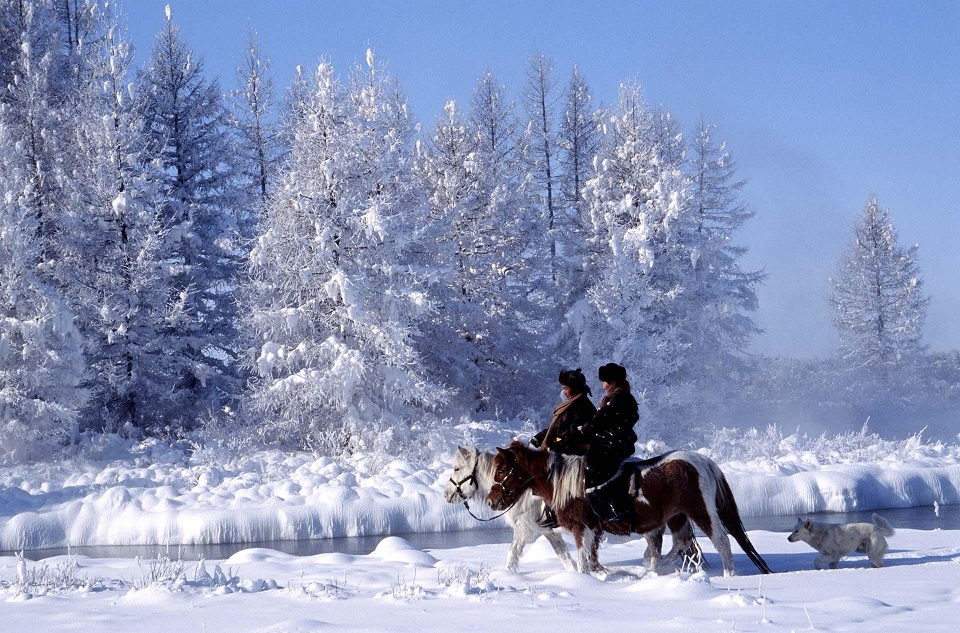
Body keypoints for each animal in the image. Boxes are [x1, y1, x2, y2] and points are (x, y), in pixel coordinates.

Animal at [442, 444, 696, 572]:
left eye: (456, 469)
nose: (446, 495)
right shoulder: (548, 530)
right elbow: (563, 555)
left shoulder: (525, 529)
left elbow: (513, 554)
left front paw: (509, 575)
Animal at [488, 442, 772, 576]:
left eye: (502, 470)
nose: (491, 501)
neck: (563, 481)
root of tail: (703, 461)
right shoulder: (590, 531)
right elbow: (587, 558)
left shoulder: (582, 528)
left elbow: (582, 560)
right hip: (677, 516)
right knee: (680, 542)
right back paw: (655, 571)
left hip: (700, 511)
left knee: (721, 541)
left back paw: (728, 574)